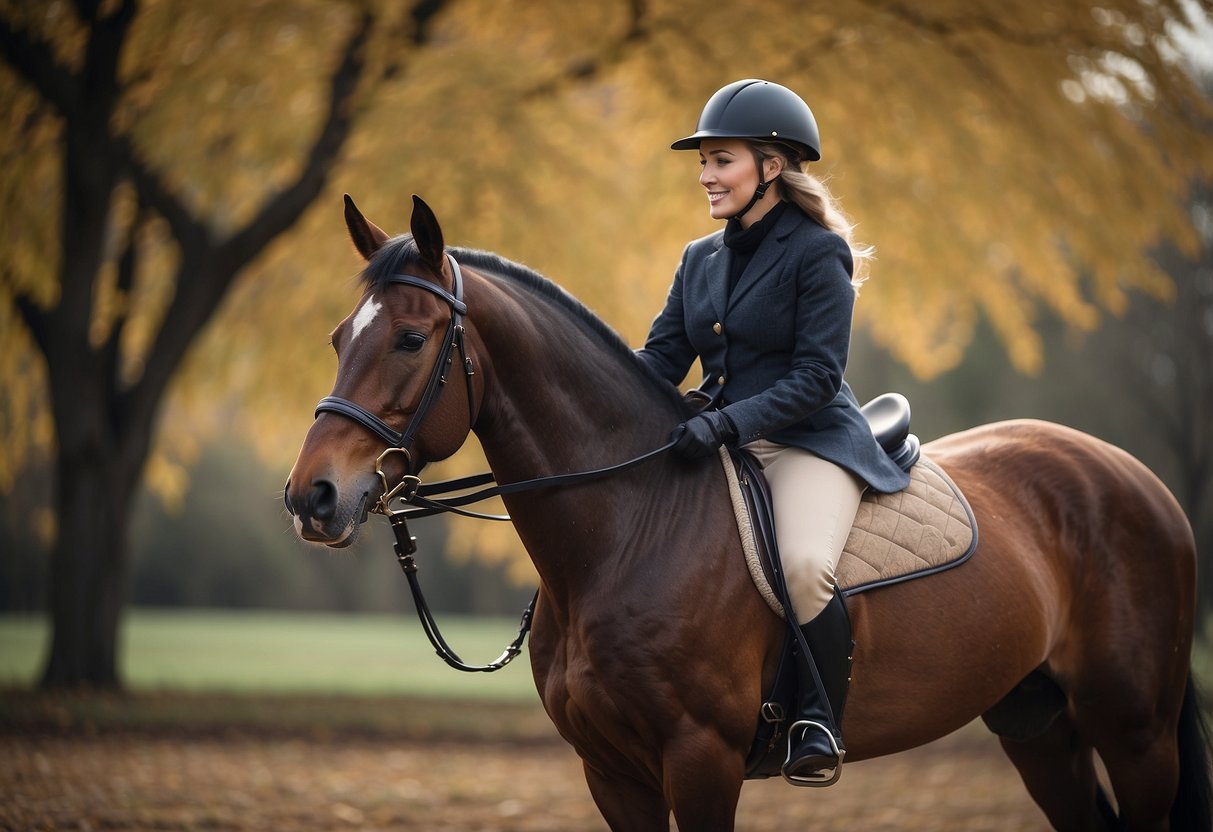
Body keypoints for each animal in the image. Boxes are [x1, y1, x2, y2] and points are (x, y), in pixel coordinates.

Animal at [286, 197, 1213, 832]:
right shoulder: (611, 772)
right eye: (335, 337)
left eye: (410, 339)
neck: (631, 530)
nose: (310, 497)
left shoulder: (700, 758)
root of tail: (1131, 475)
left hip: (1134, 732)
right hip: (1037, 724)